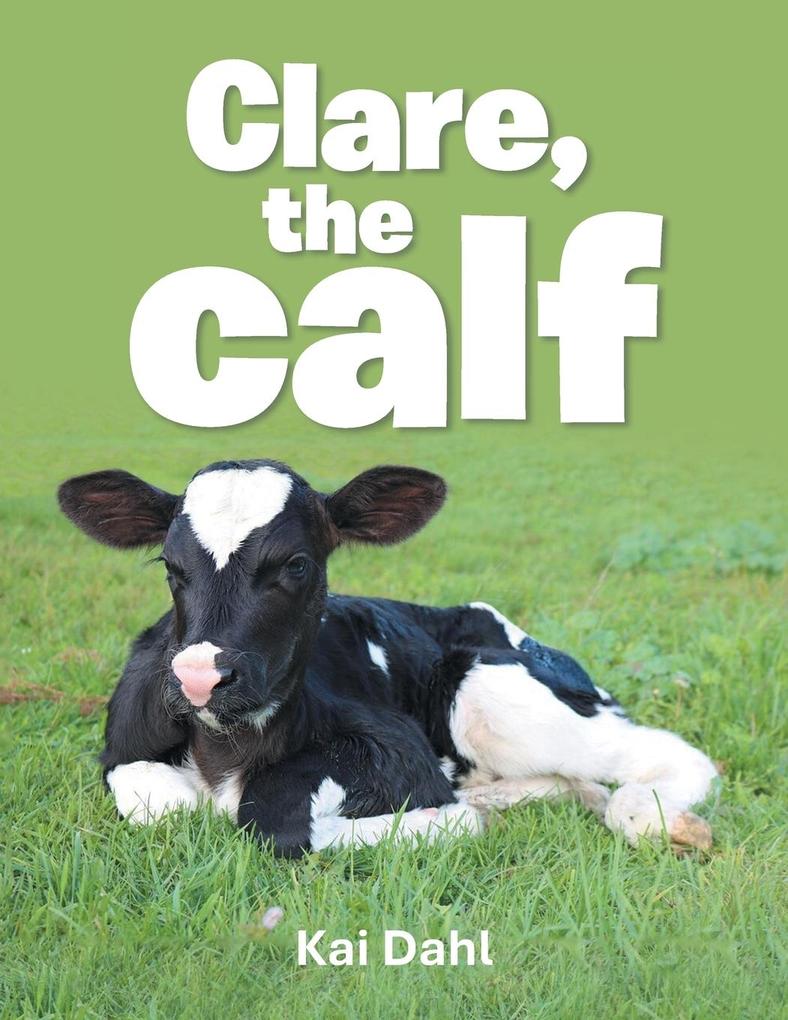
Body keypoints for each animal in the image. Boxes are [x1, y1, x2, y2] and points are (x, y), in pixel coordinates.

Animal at [57, 459, 718, 857]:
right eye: (170, 566)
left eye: (298, 564)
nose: (199, 677)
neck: (226, 751)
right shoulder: (124, 745)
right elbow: (163, 802)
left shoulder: (396, 748)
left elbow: (280, 823)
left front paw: (455, 818)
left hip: (488, 688)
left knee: (671, 758)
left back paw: (650, 816)